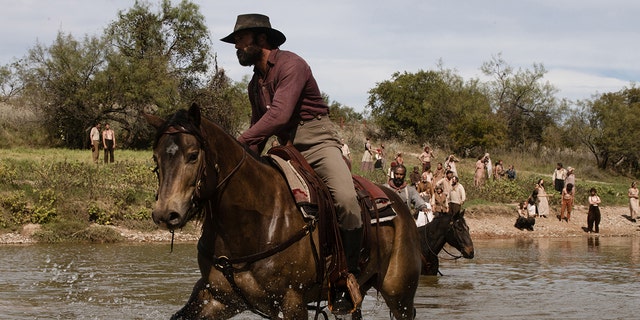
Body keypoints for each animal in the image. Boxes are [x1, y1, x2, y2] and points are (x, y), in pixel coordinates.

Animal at [147, 104, 422, 318]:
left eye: (193, 155)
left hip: (399, 295)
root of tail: (400, 205)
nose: (165, 214)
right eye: (156, 158)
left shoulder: (292, 302)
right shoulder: (218, 298)